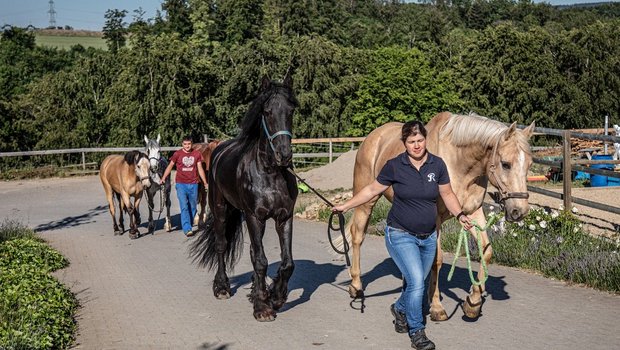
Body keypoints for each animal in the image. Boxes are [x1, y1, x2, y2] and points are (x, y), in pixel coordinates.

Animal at [190, 74, 300, 322]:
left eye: (291, 111)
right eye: (266, 111)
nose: (284, 155)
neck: (270, 172)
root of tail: (218, 150)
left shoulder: (284, 217)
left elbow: (287, 263)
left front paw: (275, 296)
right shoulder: (254, 217)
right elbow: (260, 261)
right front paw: (262, 307)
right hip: (221, 209)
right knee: (222, 245)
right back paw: (222, 287)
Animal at [342, 112, 536, 320]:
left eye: (529, 165)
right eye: (506, 164)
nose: (519, 211)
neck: (459, 165)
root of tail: (372, 137)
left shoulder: (472, 213)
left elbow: (486, 251)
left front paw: (473, 302)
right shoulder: (435, 221)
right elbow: (437, 260)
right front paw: (436, 306)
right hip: (366, 201)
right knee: (357, 236)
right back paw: (356, 286)